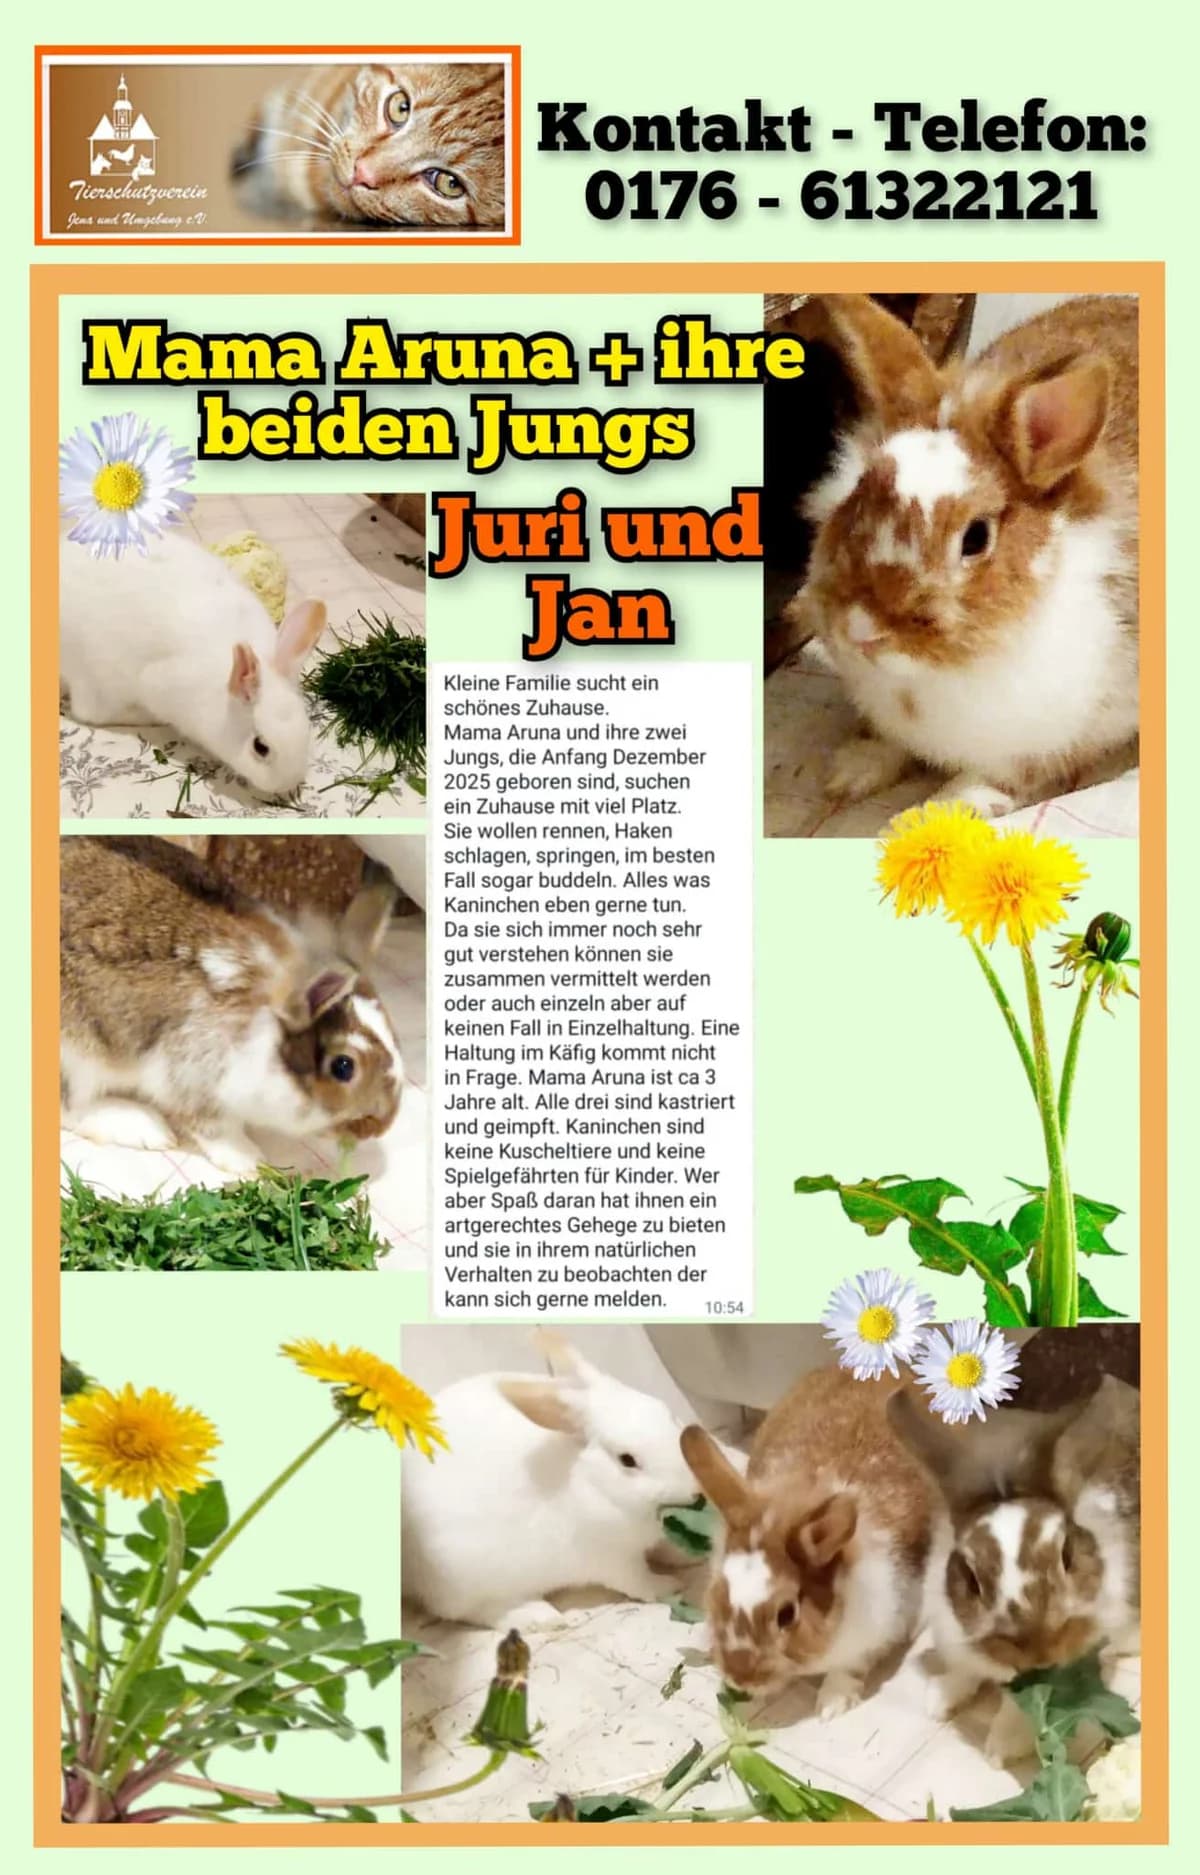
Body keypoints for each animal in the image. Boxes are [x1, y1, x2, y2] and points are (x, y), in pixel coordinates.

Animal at [60, 836, 403, 1177]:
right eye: (343, 1066)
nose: (379, 1126)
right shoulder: (194, 1081)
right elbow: (215, 1129)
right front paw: (251, 1162)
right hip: (79, 1058)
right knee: (72, 1107)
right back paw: (143, 1127)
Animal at [401, 1332, 704, 1629]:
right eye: (627, 1460)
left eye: (670, 1416)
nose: (696, 1488)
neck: (592, 1483)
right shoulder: (610, 1559)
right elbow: (639, 1581)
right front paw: (668, 1584)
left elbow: (666, 1549)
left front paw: (692, 1557)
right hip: (468, 1581)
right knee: (477, 1611)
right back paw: (541, 1617)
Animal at [781, 294, 1139, 817]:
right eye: (856, 499)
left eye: (976, 538)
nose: (861, 632)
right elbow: (890, 744)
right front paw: (850, 772)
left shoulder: (1062, 734)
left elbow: (1004, 776)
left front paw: (931, 811)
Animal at [887, 1375, 1139, 1762]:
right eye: (971, 1580)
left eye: (1066, 1555)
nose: (1039, 1651)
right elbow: (963, 1669)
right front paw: (939, 1699)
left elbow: (1018, 1704)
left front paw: (1002, 1747)